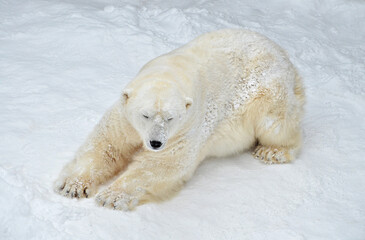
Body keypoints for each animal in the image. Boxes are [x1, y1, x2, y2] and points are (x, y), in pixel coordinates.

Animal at [54, 29, 304, 211]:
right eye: (145, 114)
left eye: (170, 118)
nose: (155, 143)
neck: (173, 69)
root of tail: (283, 54)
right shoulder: (125, 118)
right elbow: (106, 145)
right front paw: (73, 186)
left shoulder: (187, 127)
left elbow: (161, 165)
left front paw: (111, 197)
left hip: (267, 89)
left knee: (276, 122)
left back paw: (272, 151)